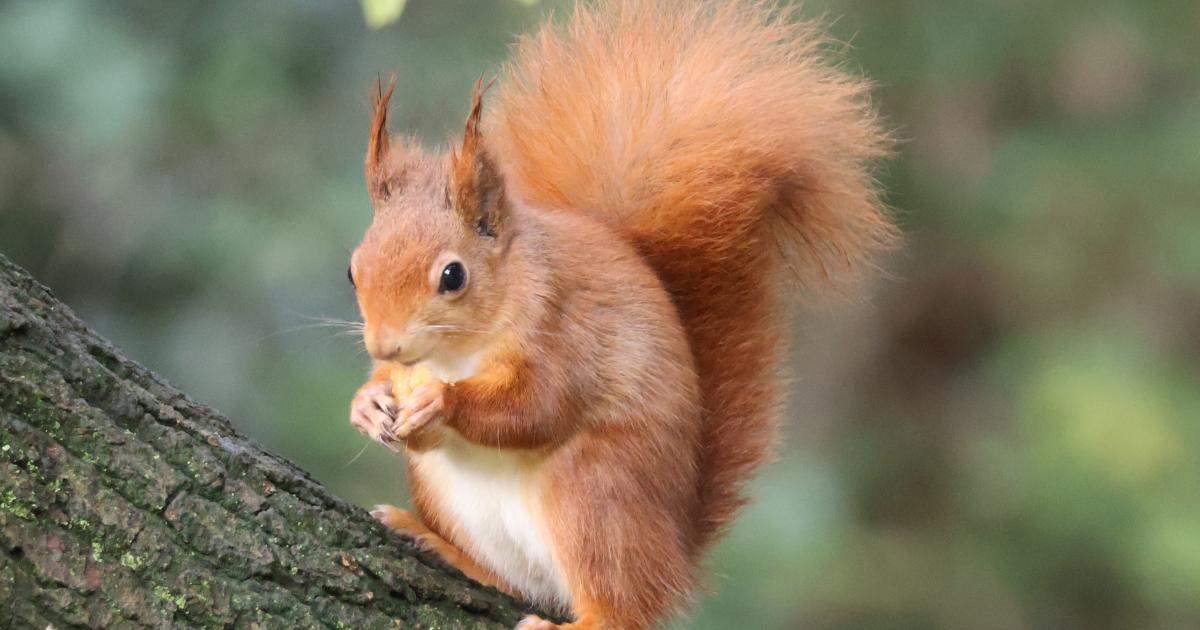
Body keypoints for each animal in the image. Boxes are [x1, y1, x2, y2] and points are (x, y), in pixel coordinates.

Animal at [346, 1, 895, 628]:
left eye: (453, 276)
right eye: (353, 270)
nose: (384, 346)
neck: (457, 351)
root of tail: (674, 553)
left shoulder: (564, 329)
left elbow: (538, 405)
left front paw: (442, 401)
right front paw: (368, 402)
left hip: (595, 494)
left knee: (621, 606)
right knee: (514, 579)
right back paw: (434, 542)